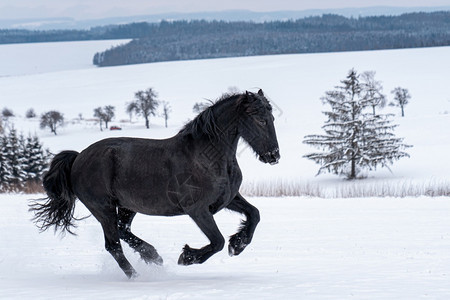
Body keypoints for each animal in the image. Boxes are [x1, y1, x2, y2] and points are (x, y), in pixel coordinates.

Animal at [30, 89, 278, 278]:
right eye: (260, 119)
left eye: (272, 118)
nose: (274, 155)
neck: (209, 157)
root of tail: (78, 157)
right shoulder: (197, 209)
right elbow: (216, 241)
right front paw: (187, 256)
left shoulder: (228, 199)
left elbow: (254, 214)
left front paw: (237, 244)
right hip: (103, 208)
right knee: (114, 245)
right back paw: (137, 276)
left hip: (126, 207)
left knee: (123, 231)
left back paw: (153, 256)